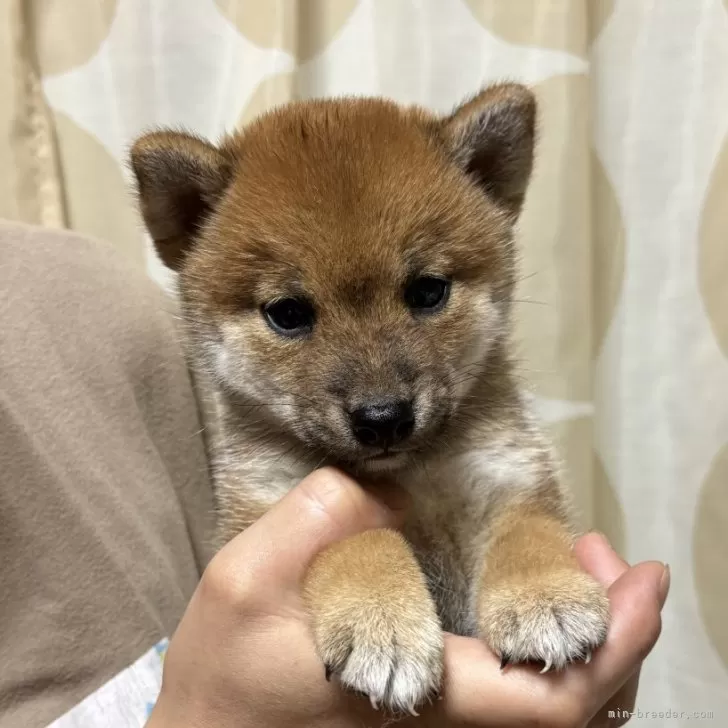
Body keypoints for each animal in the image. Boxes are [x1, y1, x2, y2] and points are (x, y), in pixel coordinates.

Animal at [129, 85, 608, 716]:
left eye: (428, 291)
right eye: (288, 313)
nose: (383, 418)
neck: (410, 475)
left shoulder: (507, 477)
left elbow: (527, 532)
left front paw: (545, 598)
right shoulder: (270, 505)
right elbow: (356, 540)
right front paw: (382, 623)